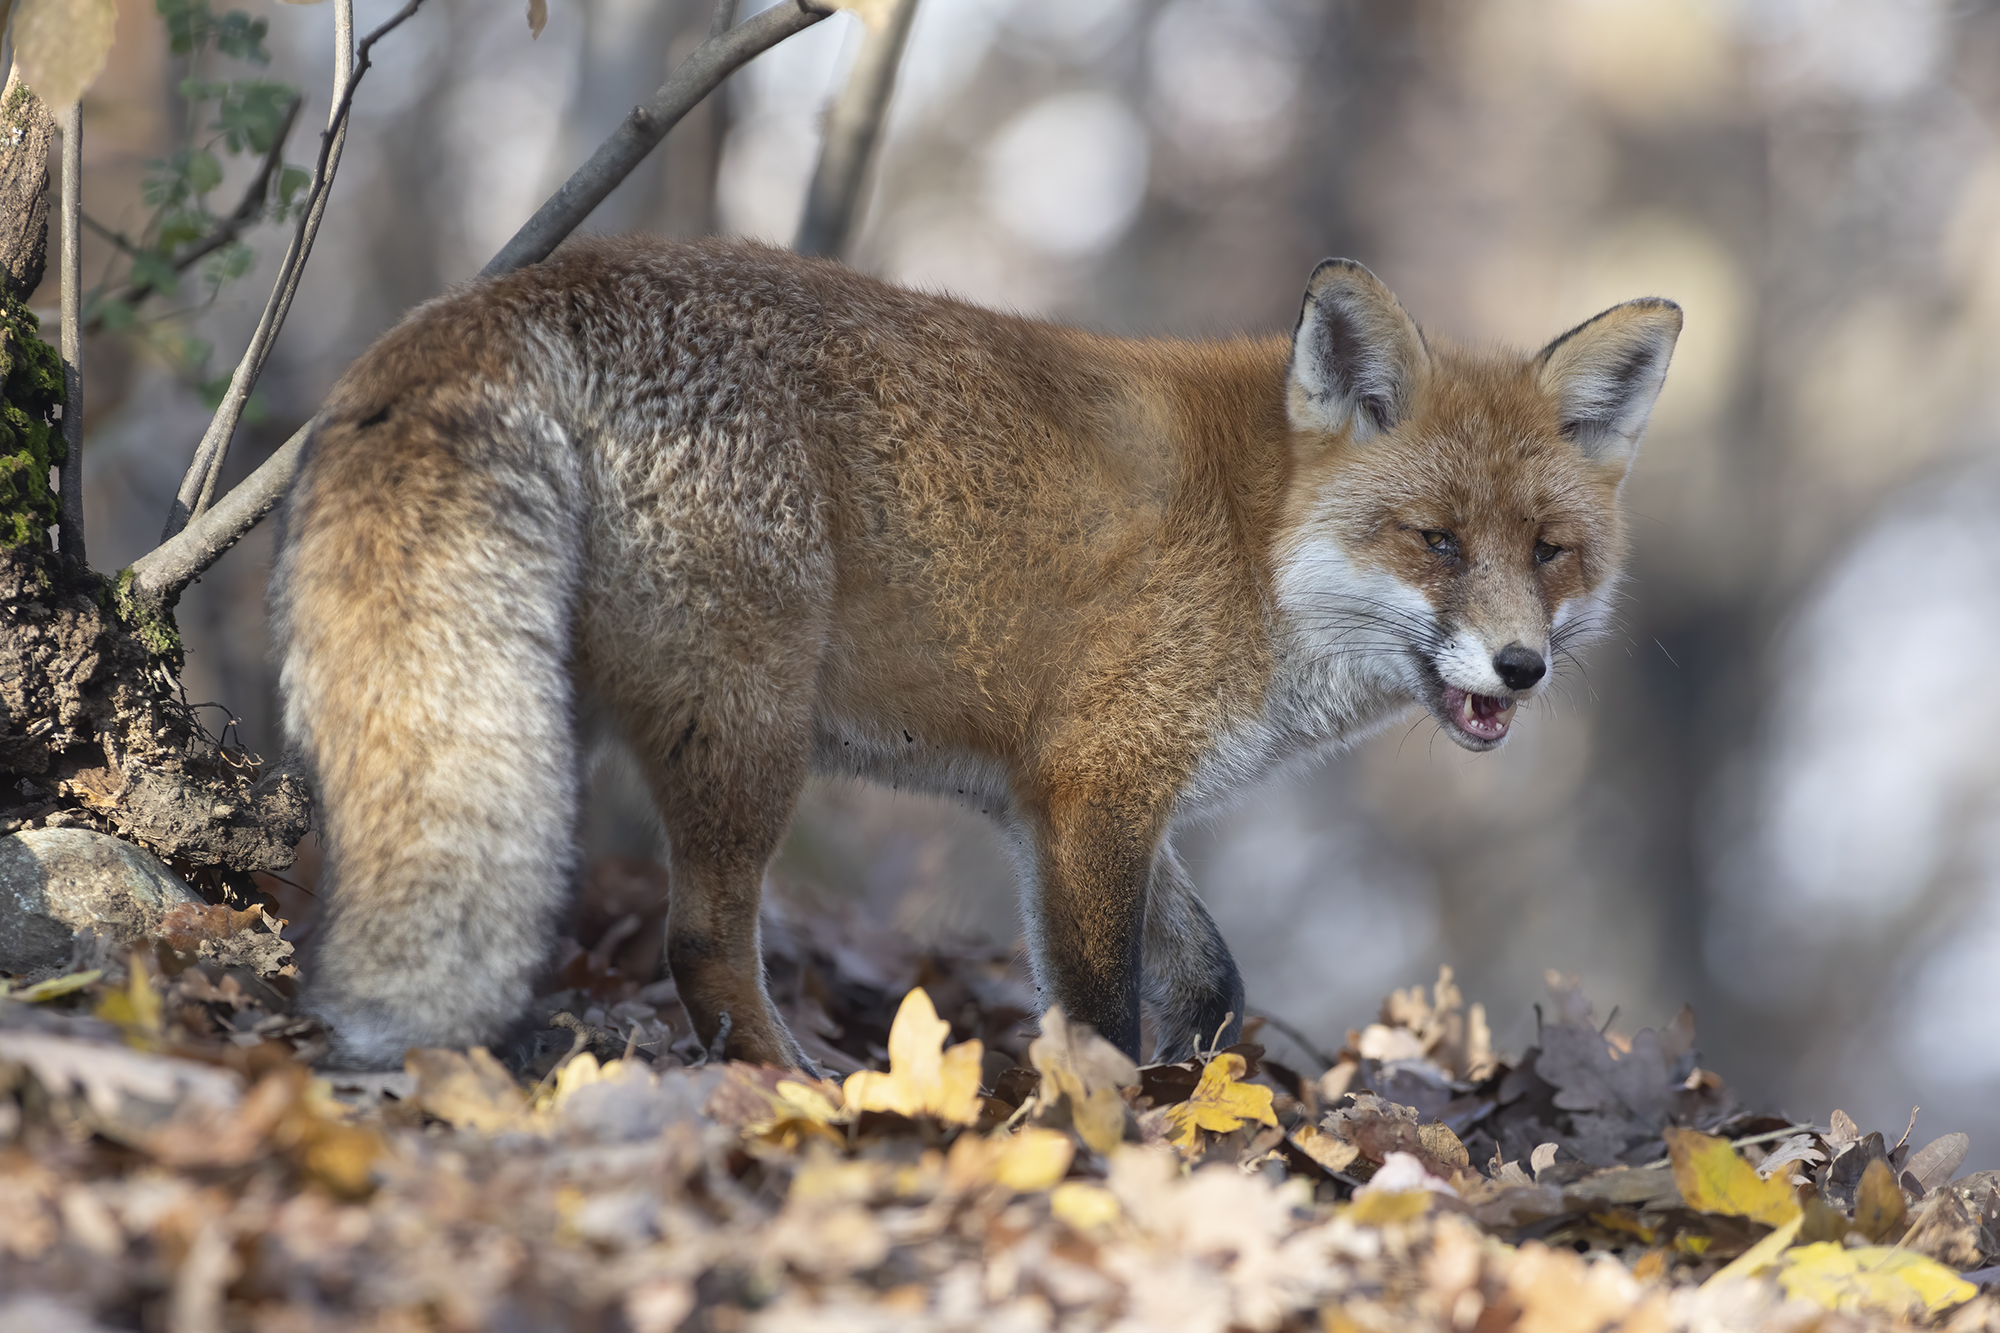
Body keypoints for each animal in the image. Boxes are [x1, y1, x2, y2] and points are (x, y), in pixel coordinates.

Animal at [273, 235, 1679, 1070]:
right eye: (1434, 543)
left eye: (1548, 552)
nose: (1519, 667)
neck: (1253, 541)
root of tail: (537, 276)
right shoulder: (1097, 785)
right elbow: (1099, 1010)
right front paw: (1112, 1126)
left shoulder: (1054, 797)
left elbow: (1213, 978)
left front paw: (1193, 1090)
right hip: (745, 731)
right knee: (703, 942)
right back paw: (798, 1092)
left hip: (546, 713)